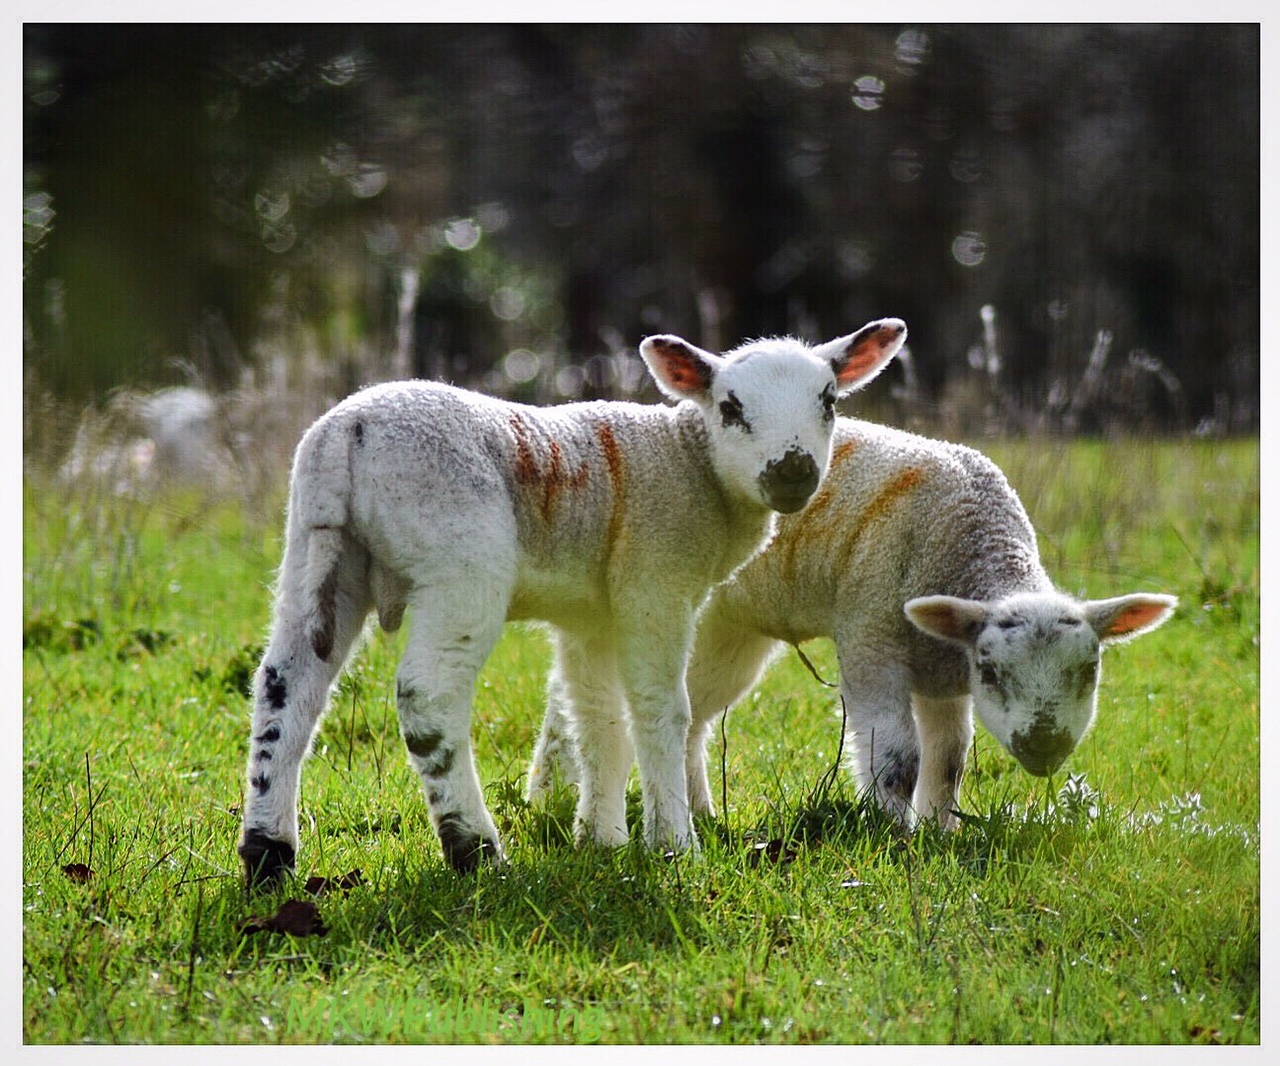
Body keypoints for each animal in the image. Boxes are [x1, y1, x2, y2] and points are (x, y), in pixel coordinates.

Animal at [238, 319, 909, 885]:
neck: (690, 463)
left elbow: (599, 720)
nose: (793, 471)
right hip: (459, 556)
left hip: (317, 548)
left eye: (829, 401)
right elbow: (661, 710)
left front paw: (601, 840)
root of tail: (348, 435)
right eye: (730, 407)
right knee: (428, 695)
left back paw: (269, 856)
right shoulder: (655, 581)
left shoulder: (594, 617)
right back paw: (476, 851)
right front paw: (673, 845)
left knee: (287, 685)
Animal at [528, 417, 1177, 831]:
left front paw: (939, 830)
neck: (969, 539)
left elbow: (949, 758)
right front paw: (894, 834)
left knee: (695, 716)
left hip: (729, 628)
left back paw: (702, 813)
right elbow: (896, 755)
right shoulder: (872, 634)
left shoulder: (941, 673)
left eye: (1089, 672)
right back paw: (549, 796)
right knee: (570, 700)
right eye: (992, 672)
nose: (1044, 748)